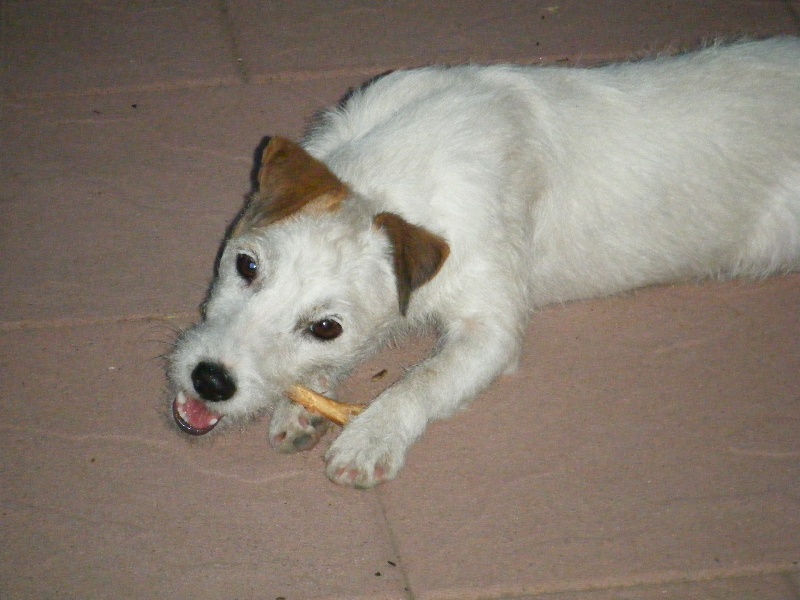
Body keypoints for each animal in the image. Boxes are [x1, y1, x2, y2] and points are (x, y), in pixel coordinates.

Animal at [169, 38, 800, 488]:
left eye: (326, 326)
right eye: (246, 266)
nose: (210, 380)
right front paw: (303, 402)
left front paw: (373, 436)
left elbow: (421, 380)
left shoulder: (492, 330)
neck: (396, 178)